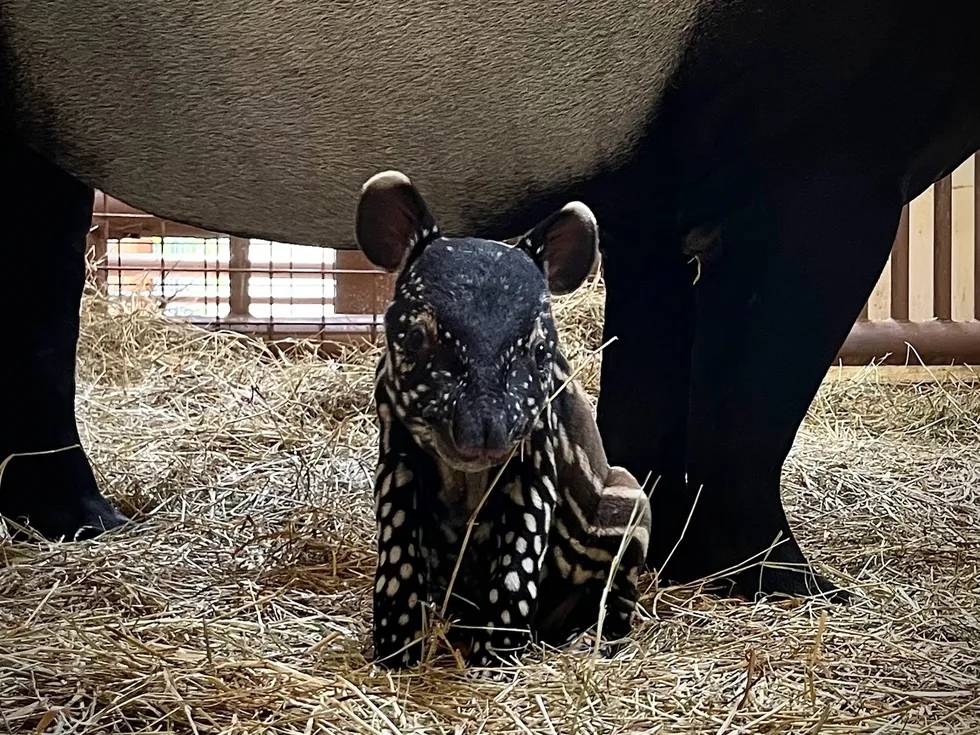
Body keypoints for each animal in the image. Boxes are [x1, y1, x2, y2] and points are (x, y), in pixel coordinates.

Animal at [354, 171, 652, 668]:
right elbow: (398, 554)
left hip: (630, 503)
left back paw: (589, 643)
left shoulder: (536, 455)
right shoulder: (396, 451)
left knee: (617, 596)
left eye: (540, 350)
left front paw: (493, 662)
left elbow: (517, 563)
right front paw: (395, 654)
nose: (483, 434)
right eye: (414, 337)